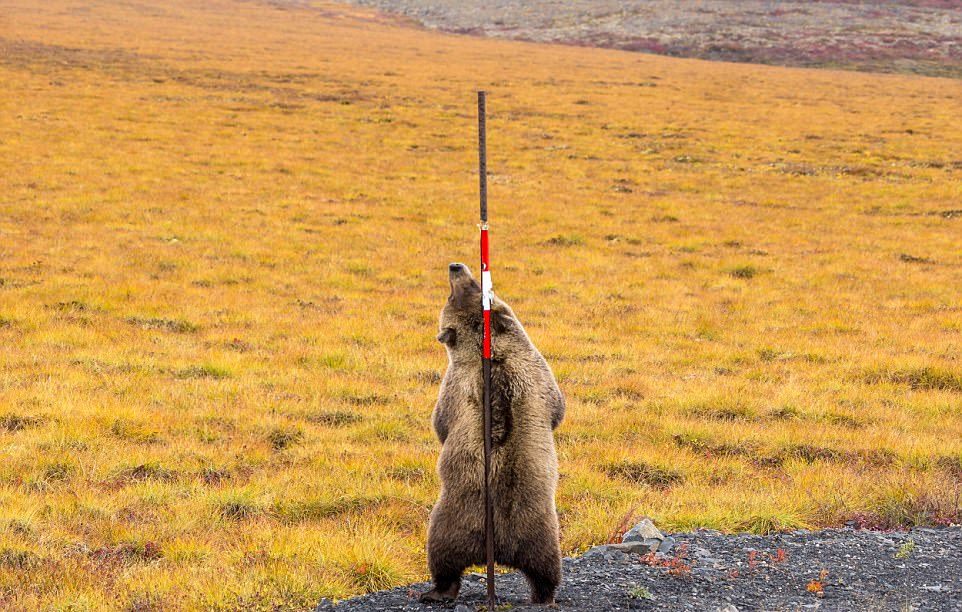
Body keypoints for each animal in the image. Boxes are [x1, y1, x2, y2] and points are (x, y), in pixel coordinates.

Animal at [418, 262, 564, 608]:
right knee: (544, 569)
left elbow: (441, 421)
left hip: (454, 524)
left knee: (443, 560)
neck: (491, 352)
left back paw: (435, 591)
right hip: (536, 532)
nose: (455, 266)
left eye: (471, 286)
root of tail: (497, 548)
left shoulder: (458, 381)